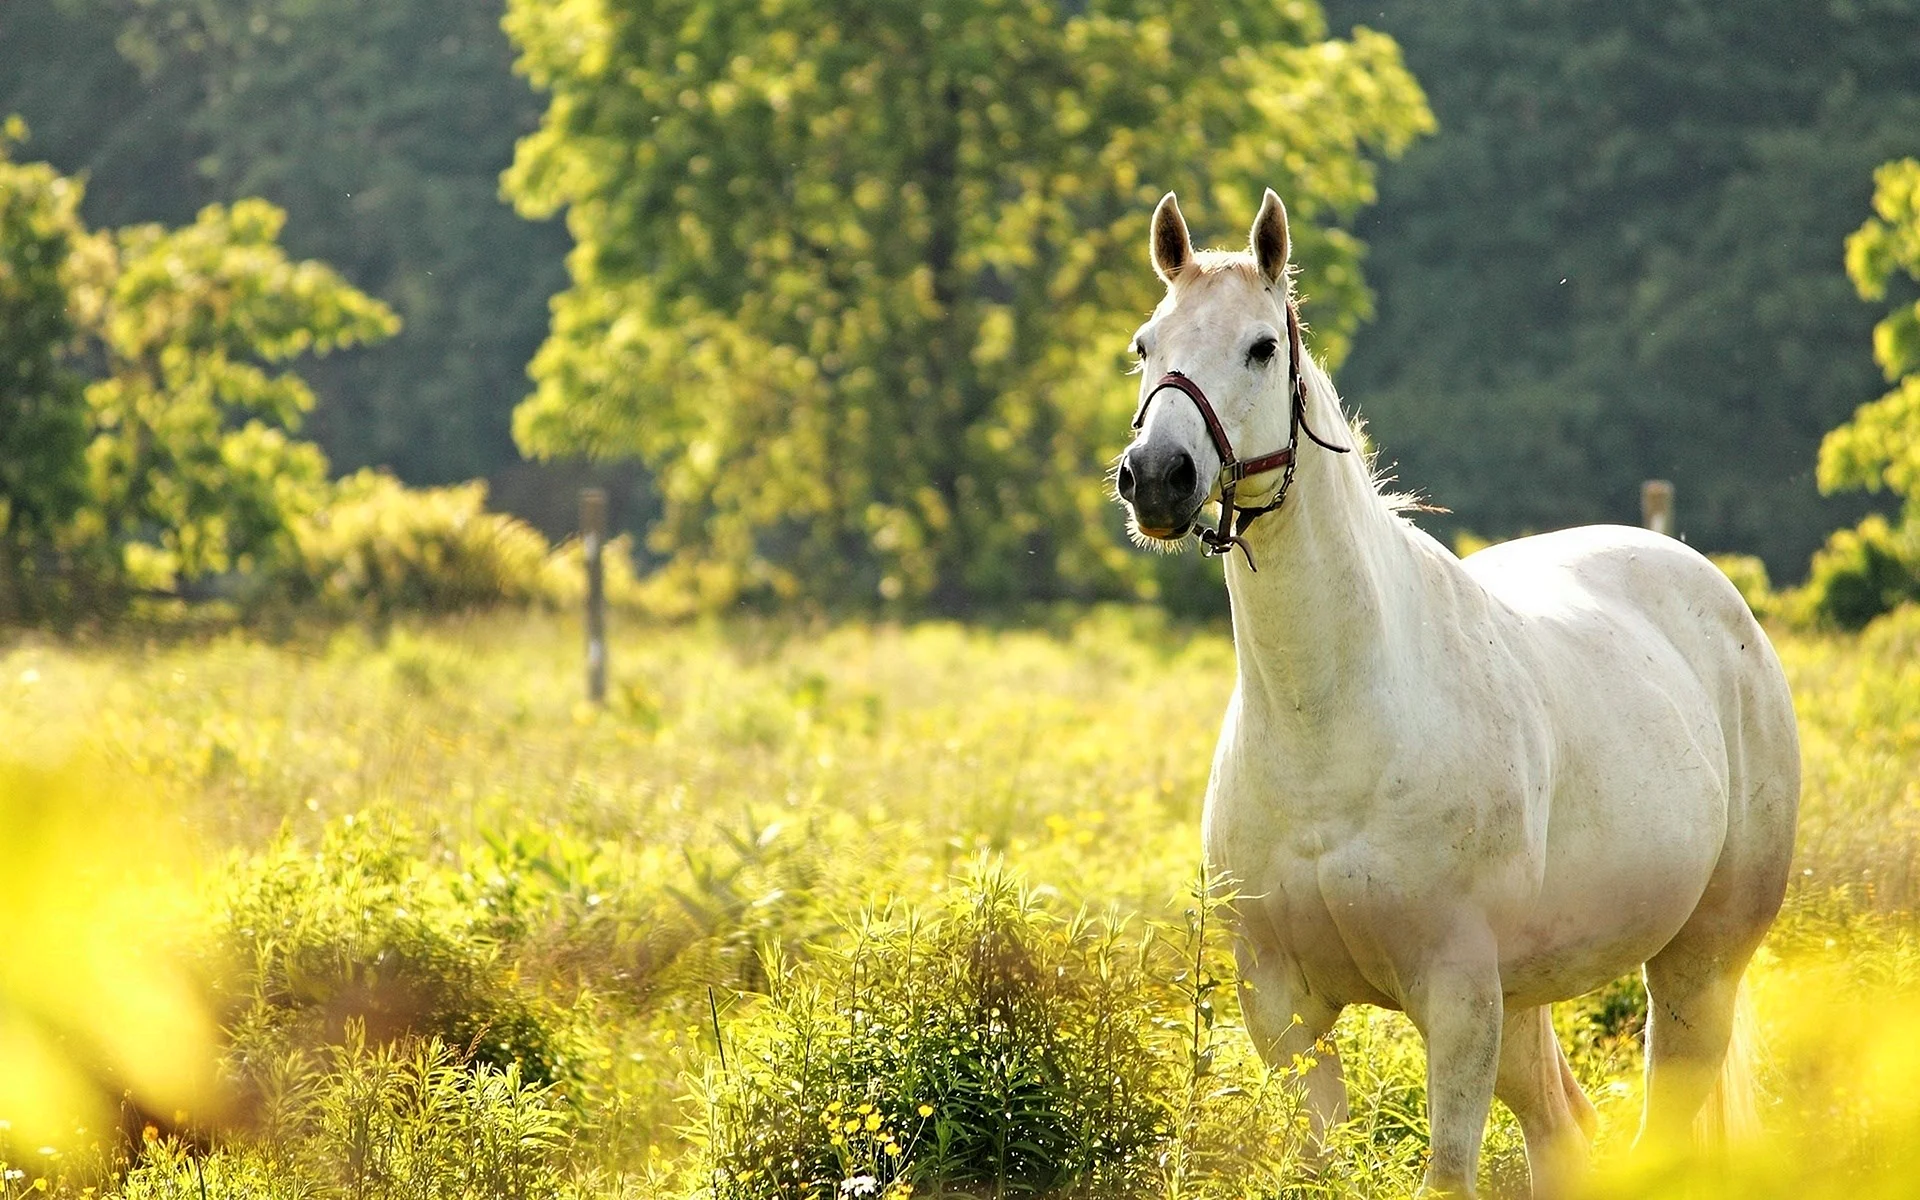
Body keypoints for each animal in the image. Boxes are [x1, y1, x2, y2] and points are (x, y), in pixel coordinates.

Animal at [1113, 192, 1797, 1190]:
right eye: (1145, 343)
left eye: (1260, 347)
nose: (1157, 478)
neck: (1332, 727)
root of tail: (1712, 594)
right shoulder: (1282, 1010)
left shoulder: (1458, 996)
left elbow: (1446, 1173)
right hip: (1530, 1001)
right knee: (1564, 1133)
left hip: (1695, 968)